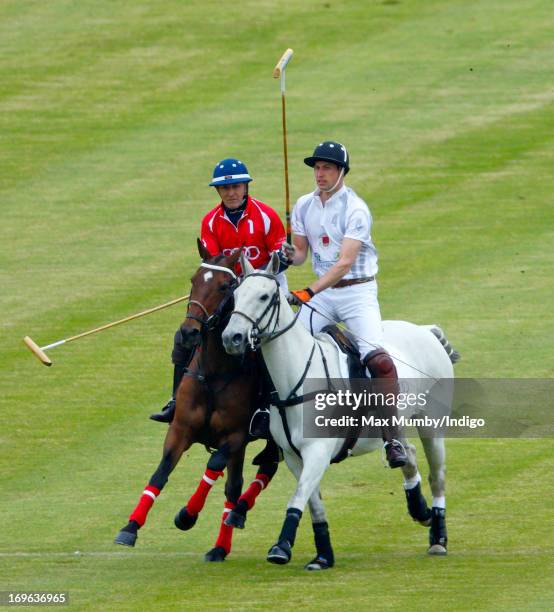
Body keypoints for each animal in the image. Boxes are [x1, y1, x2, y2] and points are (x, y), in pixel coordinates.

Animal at [113, 243, 276, 560]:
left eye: (225, 286)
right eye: (193, 280)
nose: (189, 332)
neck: (215, 371)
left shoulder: (236, 435)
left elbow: (214, 465)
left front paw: (187, 515)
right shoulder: (180, 429)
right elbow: (161, 472)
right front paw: (130, 527)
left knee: (260, 472)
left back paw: (233, 521)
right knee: (238, 483)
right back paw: (224, 538)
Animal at [220, 253, 458, 568]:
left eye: (264, 296)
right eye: (235, 296)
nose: (231, 338)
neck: (296, 380)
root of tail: (424, 331)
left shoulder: (317, 451)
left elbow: (298, 497)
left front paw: (280, 547)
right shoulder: (294, 457)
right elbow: (314, 503)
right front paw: (323, 556)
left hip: (431, 423)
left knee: (436, 475)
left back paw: (438, 537)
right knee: (407, 455)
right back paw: (420, 509)